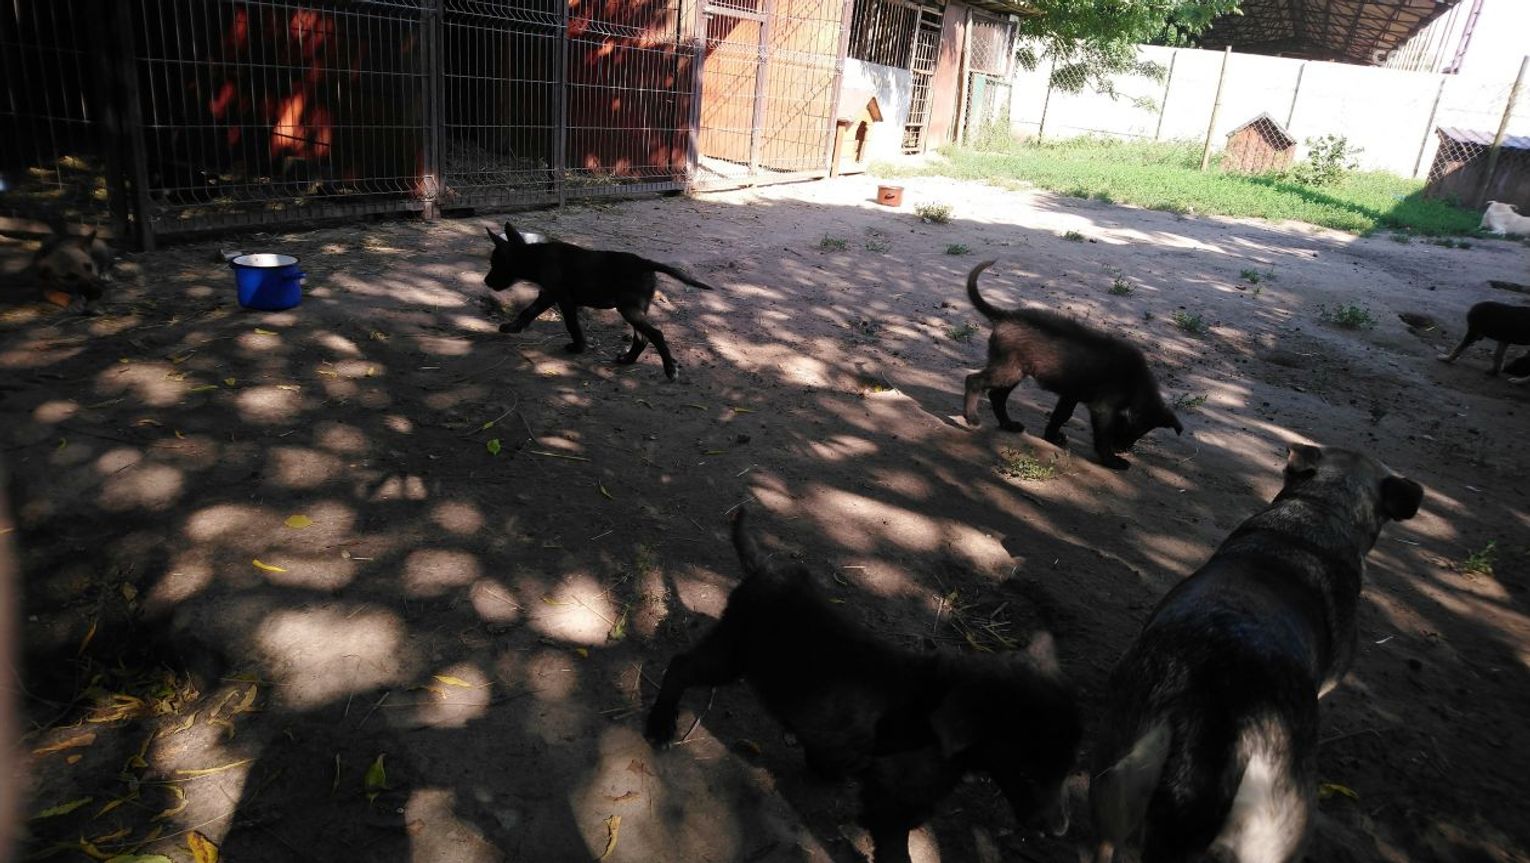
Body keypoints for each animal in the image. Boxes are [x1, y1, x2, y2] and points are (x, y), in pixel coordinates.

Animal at [483, 222, 714, 380]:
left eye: (494, 264)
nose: (485, 281)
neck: (536, 257)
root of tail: (645, 263)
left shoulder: (564, 298)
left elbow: (572, 325)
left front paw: (578, 347)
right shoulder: (547, 294)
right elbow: (528, 312)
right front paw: (512, 327)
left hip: (628, 308)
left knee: (655, 334)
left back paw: (668, 369)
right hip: (635, 308)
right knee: (642, 338)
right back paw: (627, 360)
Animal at [645, 510, 1081, 863]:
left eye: (1067, 771)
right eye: (1028, 773)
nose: (1060, 830)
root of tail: (763, 571)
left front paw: (825, 765)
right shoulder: (890, 807)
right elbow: (894, 852)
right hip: (731, 655)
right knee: (680, 667)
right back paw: (661, 725)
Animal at [962, 260, 1182, 470]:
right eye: (1131, 429)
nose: (1123, 449)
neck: (1136, 384)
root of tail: (1007, 315)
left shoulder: (1071, 395)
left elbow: (1061, 416)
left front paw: (1052, 437)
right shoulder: (1103, 408)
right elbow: (1102, 436)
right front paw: (1112, 460)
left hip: (1015, 370)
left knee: (996, 396)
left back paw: (1008, 424)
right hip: (1008, 371)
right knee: (973, 380)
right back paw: (971, 417)